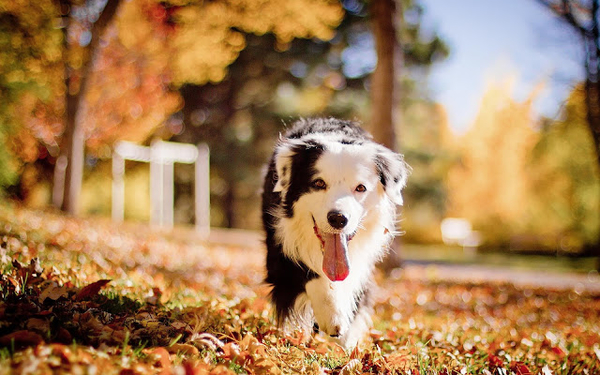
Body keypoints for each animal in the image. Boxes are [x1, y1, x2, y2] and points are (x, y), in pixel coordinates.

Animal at [260, 118, 410, 350]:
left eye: (360, 188)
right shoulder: (278, 251)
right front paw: (333, 317)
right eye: (318, 183)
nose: (338, 219)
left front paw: (345, 340)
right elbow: (308, 273)